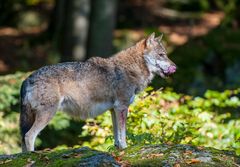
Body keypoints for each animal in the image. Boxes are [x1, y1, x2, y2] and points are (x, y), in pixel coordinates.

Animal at [19, 32, 176, 152]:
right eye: (162, 55)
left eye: (166, 55)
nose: (175, 67)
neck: (131, 69)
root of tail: (28, 78)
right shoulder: (122, 107)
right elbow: (123, 133)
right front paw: (125, 148)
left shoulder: (114, 109)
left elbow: (117, 135)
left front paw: (118, 149)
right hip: (48, 114)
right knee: (29, 136)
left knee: (23, 137)